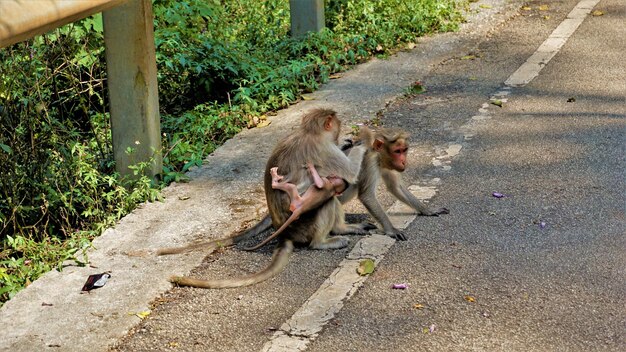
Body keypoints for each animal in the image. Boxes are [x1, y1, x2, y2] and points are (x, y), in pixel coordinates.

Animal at [169, 108, 370, 288]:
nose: (339, 137)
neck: (309, 132)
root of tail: (285, 233)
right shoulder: (324, 149)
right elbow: (351, 173)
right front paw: (363, 142)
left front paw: (347, 143)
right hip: (304, 224)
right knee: (326, 199)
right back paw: (324, 240)